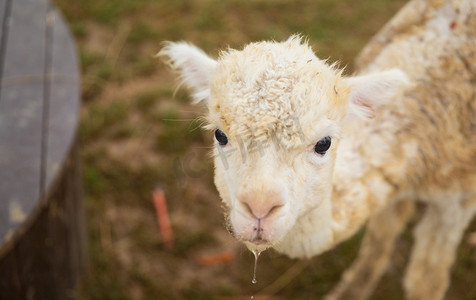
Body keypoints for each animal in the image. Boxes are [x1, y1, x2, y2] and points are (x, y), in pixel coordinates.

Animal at [159, 1, 476, 298]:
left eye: (324, 143)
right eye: (220, 135)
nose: (260, 208)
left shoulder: (456, 200)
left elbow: (426, 280)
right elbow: (381, 237)